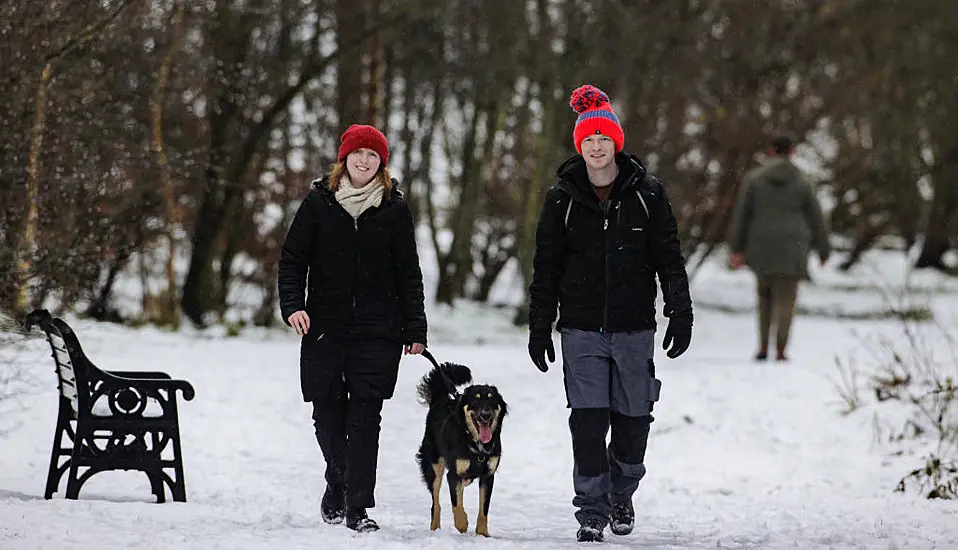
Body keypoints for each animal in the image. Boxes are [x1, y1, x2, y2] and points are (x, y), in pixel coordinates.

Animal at [418, 352, 510, 536]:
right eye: (475, 400)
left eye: (492, 400)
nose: (485, 414)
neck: (475, 442)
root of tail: (440, 400)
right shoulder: (453, 474)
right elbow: (456, 504)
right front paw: (461, 523)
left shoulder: (488, 476)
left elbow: (483, 509)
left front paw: (482, 533)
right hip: (434, 466)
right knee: (436, 502)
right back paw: (435, 528)